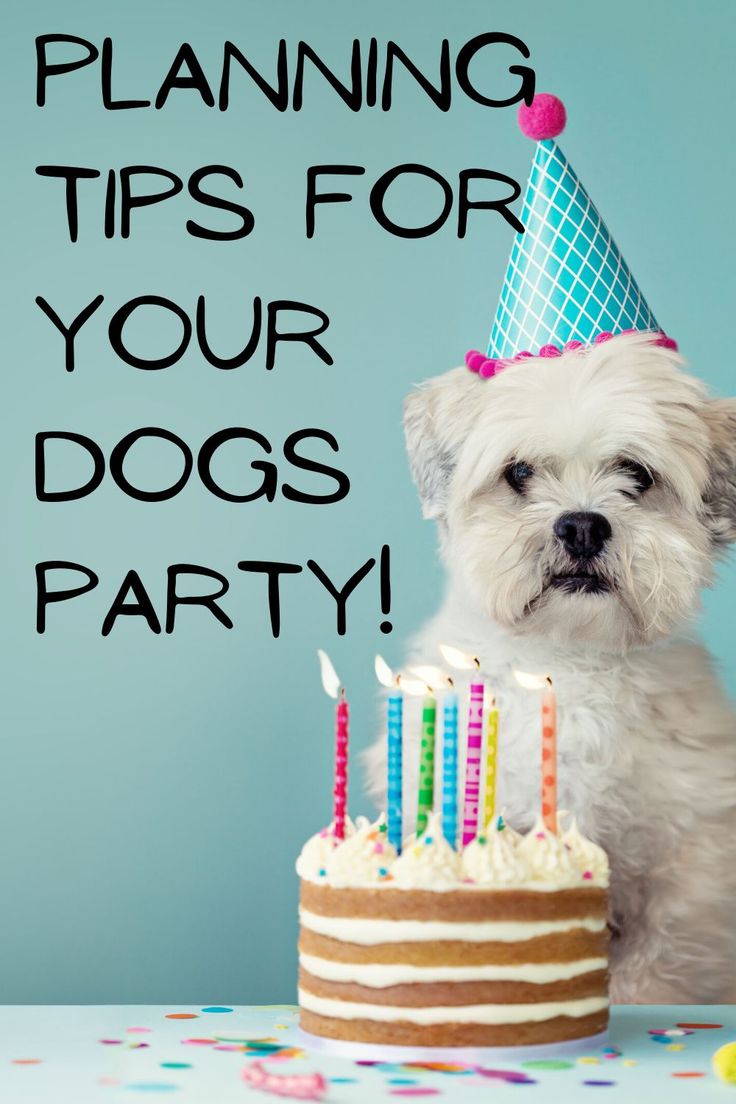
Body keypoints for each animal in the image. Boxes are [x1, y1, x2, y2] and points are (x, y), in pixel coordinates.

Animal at [366, 333, 736, 1011]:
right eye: (518, 473)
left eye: (636, 474)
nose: (584, 523)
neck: (569, 659)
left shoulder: (691, 858)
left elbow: (664, 954)